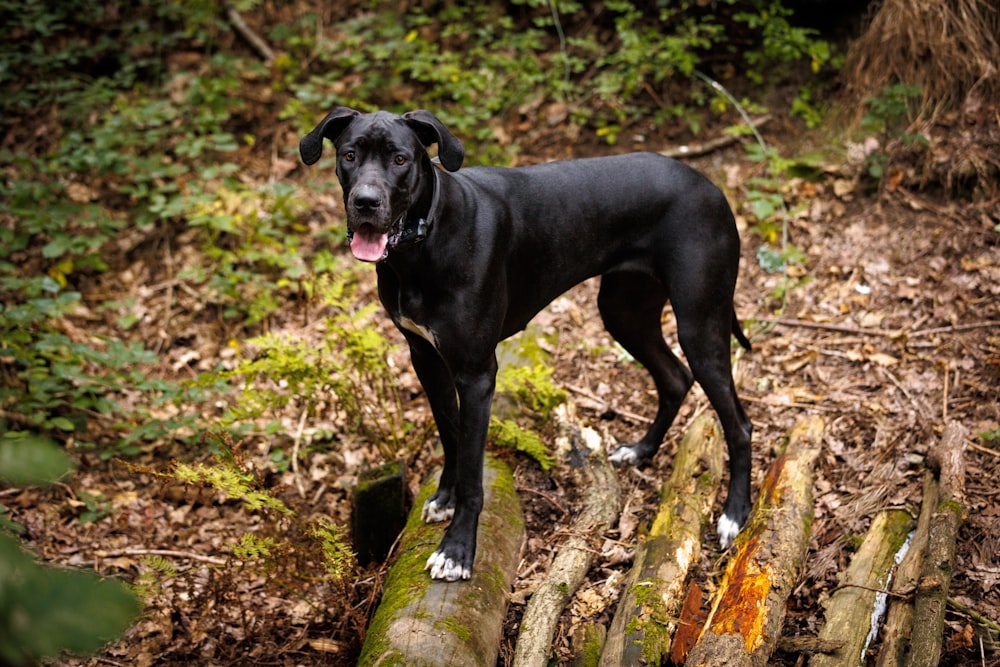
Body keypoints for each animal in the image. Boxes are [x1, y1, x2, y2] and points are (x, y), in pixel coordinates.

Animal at [300, 107, 752, 580]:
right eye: (350, 155)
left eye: (400, 159)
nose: (365, 202)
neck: (423, 244)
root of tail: (711, 187)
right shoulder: (425, 357)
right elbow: (450, 434)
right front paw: (444, 498)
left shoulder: (477, 374)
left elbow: (473, 472)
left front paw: (457, 550)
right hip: (624, 312)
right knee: (674, 378)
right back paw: (641, 450)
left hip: (700, 324)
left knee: (738, 423)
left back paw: (734, 514)